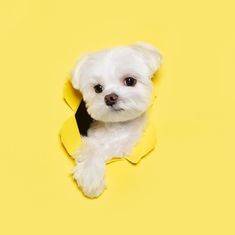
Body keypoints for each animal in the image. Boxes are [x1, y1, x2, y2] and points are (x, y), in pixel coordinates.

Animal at [70, 41, 161, 196]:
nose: (110, 97)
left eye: (130, 81)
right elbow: (93, 147)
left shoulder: (126, 142)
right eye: (98, 88)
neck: (116, 127)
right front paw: (90, 174)